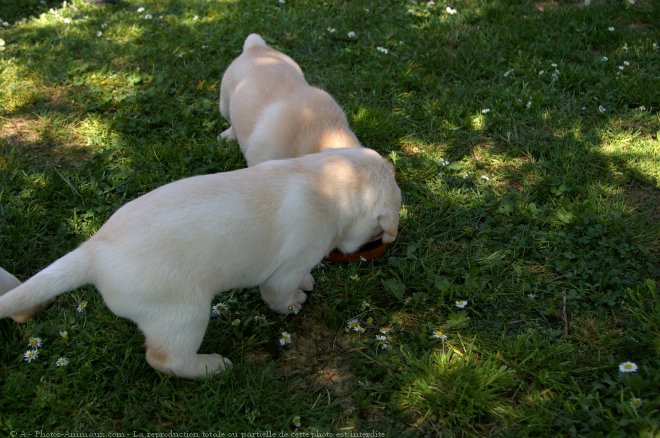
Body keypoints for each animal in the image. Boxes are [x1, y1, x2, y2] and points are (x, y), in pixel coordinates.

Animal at [0, 148, 402, 380]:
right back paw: (211, 367)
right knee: (165, 358)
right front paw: (293, 302)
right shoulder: (287, 267)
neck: (324, 180)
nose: (380, 242)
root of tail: (94, 250)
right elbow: (279, 293)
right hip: (184, 315)